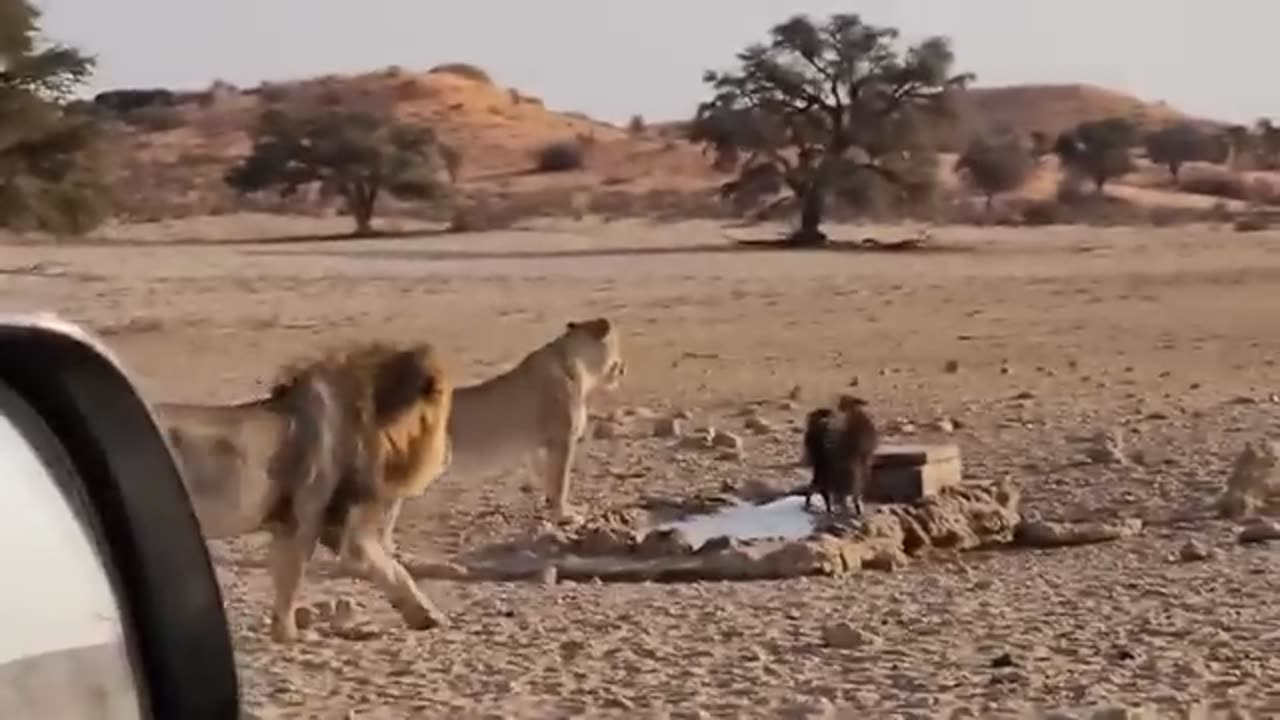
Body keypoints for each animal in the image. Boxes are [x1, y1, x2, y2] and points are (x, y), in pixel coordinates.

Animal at [155, 340, 455, 638]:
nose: (448, 455)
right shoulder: (307, 517)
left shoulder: (331, 523)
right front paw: (289, 635)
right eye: (441, 403)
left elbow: (393, 571)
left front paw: (428, 616)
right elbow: (291, 580)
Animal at [376, 316, 622, 545]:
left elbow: (551, 483)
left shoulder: (544, 447)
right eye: (617, 344)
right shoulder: (562, 440)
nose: (623, 367)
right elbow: (561, 483)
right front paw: (566, 517)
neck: (577, 363)